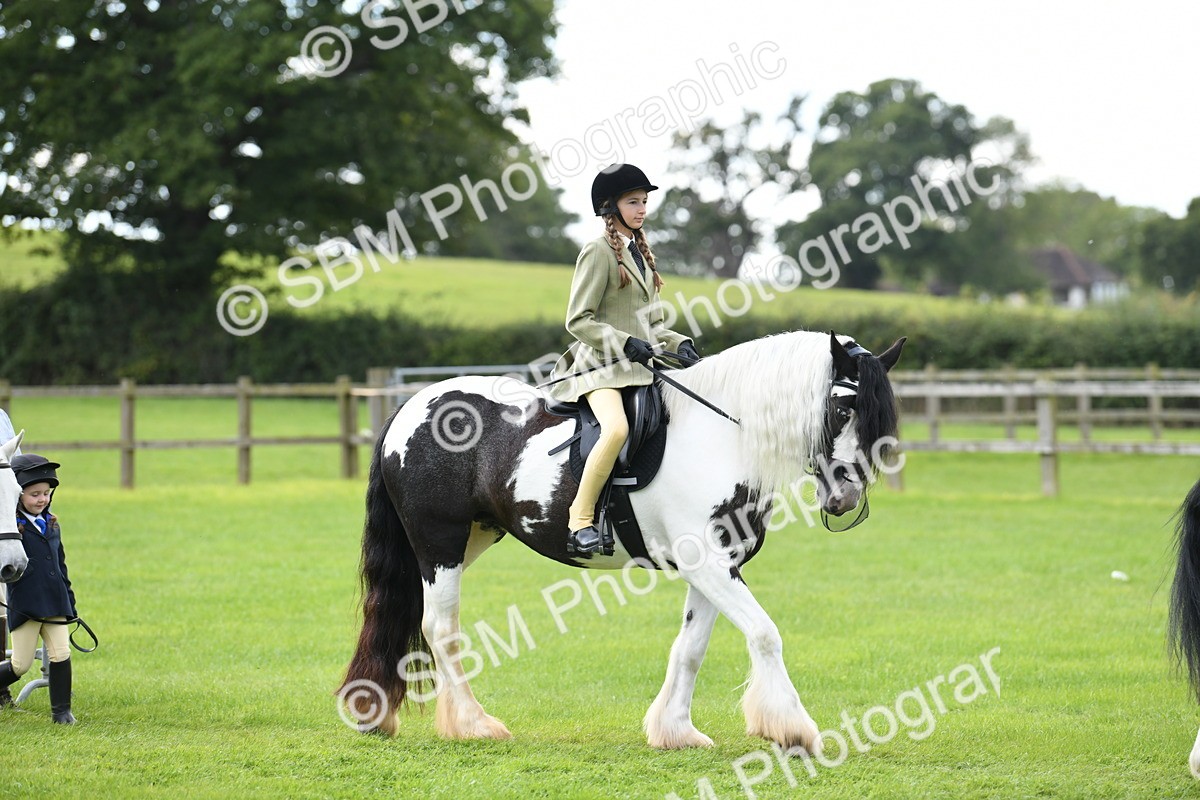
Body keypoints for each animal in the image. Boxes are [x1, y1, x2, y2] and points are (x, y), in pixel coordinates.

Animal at [338, 330, 905, 751]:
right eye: (841, 409)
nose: (845, 496)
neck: (724, 436)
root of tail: (411, 406)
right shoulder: (709, 564)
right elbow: (765, 634)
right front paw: (792, 730)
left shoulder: (717, 566)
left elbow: (691, 647)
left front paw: (675, 730)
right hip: (439, 543)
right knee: (441, 627)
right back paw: (474, 724)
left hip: (467, 540)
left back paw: (380, 714)